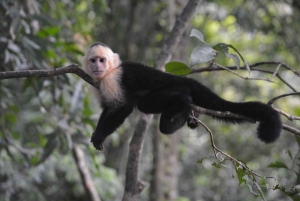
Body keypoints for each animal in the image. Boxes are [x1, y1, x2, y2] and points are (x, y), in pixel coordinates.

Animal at [82, 41, 282, 150]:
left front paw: (100, 135)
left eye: (102, 60)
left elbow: (123, 107)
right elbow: (108, 107)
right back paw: (190, 115)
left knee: (148, 104)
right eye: (93, 60)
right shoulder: (98, 83)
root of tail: (186, 80)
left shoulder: (112, 79)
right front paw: (96, 132)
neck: (108, 72)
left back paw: (183, 104)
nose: (97, 66)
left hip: (176, 86)